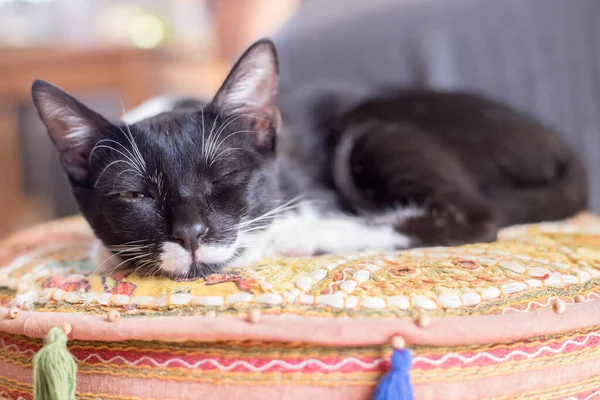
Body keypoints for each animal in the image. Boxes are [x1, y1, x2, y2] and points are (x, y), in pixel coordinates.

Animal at [30, 39, 588, 278]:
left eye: (227, 176)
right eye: (134, 194)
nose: (190, 234)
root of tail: (562, 147)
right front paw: (110, 251)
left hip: (373, 131)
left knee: (474, 218)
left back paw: (308, 235)